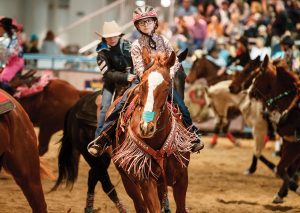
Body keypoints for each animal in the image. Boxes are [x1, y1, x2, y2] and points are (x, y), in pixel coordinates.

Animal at [110, 48, 195, 213]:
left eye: (167, 87)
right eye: (143, 85)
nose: (146, 127)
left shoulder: (182, 177)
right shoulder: (146, 180)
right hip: (127, 179)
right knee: (140, 205)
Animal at [250, 55, 300, 204]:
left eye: (257, 74)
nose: (250, 92)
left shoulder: (293, 144)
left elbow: (282, 170)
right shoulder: (291, 142)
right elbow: (284, 170)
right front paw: (281, 193)